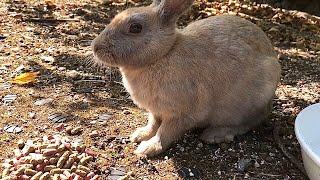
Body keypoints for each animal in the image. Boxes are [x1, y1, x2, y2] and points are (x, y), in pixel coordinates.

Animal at [90, 0, 280, 157]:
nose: (95, 47)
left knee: (250, 122)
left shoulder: (180, 114)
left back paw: (214, 135)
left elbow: (165, 132)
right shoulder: (155, 111)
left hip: (251, 103)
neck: (163, 54)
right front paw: (140, 135)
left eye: (135, 28)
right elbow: (153, 123)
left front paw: (147, 148)